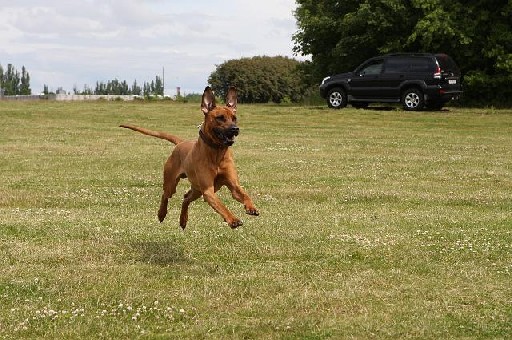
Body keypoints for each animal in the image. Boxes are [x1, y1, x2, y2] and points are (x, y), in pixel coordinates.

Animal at [120, 85, 260, 228]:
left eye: (234, 118)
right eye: (220, 117)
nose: (235, 129)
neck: (216, 153)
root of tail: (180, 142)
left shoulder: (233, 185)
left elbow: (245, 195)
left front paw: (251, 207)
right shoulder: (208, 190)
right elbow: (221, 206)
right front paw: (233, 219)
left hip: (197, 189)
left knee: (186, 197)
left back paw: (183, 220)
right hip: (173, 183)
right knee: (166, 195)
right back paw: (161, 214)